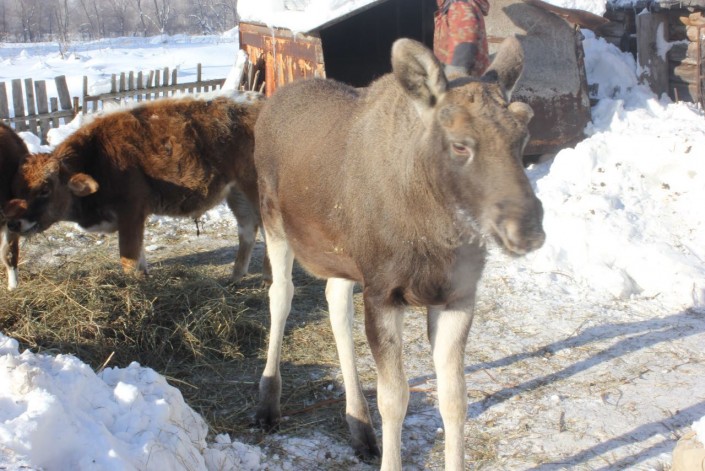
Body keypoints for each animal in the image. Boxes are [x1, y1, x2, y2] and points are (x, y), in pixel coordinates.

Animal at [4, 92, 268, 283]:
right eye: (15, 188)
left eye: (45, 189)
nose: (13, 223)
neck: (97, 156)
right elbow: (139, 260)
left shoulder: (131, 212)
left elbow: (129, 261)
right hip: (236, 193)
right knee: (248, 229)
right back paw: (235, 278)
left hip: (256, 189)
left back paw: (267, 278)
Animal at [252, 37, 545, 470]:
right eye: (460, 145)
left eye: (521, 138)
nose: (528, 230)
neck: (438, 235)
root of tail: (272, 100)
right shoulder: (383, 294)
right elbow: (395, 400)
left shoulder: (457, 297)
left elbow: (454, 399)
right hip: (273, 221)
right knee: (281, 296)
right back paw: (268, 403)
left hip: (344, 255)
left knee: (335, 303)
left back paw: (359, 425)